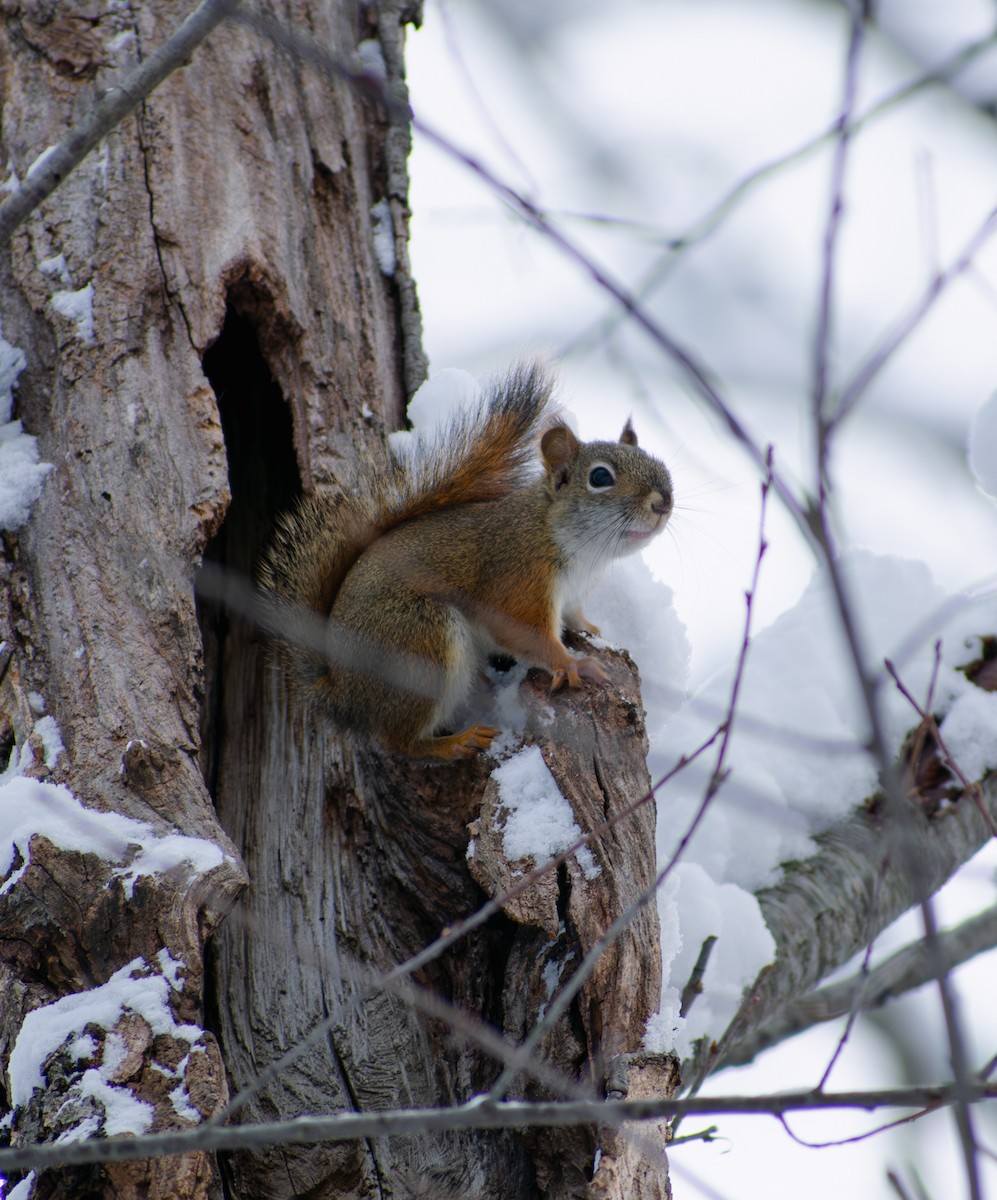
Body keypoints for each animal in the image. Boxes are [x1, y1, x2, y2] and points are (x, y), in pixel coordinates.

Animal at [258, 362, 673, 761]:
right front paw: (573, 664)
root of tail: (341, 692)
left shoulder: (571, 593)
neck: (575, 546)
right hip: (418, 644)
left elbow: (574, 616)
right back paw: (455, 743)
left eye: (657, 462)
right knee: (397, 741)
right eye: (600, 477)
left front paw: (596, 633)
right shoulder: (518, 574)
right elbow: (524, 632)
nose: (663, 504)